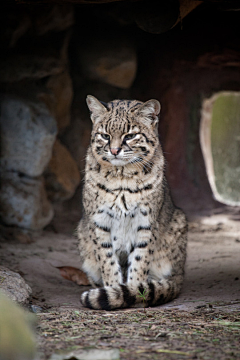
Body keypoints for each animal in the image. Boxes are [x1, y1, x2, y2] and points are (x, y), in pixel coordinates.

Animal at [77, 95, 188, 310]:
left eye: (130, 136)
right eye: (105, 135)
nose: (114, 150)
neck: (121, 178)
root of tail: (181, 274)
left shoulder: (146, 221)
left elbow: (140, 259)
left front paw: (135, 291)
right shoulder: (99, 221)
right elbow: (107, 260)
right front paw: (114, 289)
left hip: (179, 222)